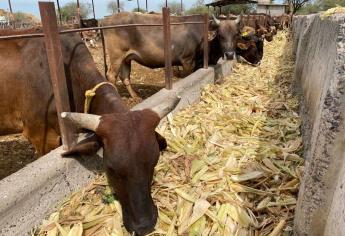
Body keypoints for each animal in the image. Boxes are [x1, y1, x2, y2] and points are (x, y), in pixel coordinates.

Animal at [101, 12, 262, 97]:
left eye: (235, 35)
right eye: (220, 35)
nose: (229, 54)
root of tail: (107, 19)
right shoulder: (187, 61)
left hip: (126, 58)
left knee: (125, 77)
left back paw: (134, 96)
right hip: (116, 56)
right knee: (111, 75)